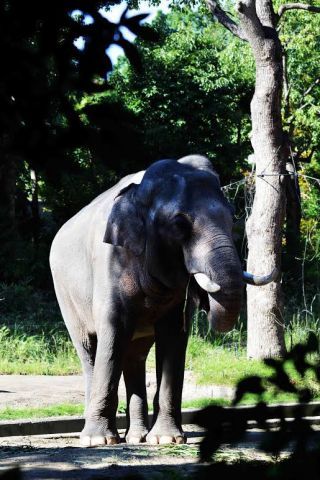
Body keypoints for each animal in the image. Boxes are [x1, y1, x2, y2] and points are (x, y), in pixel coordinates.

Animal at [48, 156, 276, 448]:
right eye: (179, 224)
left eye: (232, 217)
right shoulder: (109, 262)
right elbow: (112, 333)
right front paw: (99, 441)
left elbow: (173, 337)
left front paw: (168, 439)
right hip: (65, 294)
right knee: (89, 349)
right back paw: (100, 436)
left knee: (134, 356)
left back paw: (137, 438)